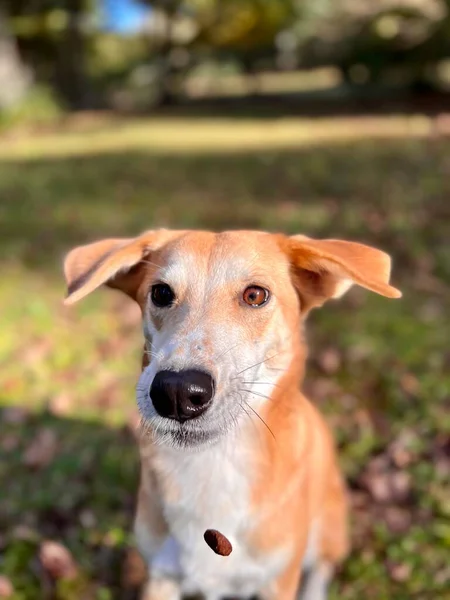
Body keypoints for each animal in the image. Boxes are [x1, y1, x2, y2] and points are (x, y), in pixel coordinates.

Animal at [62, 227, 400, 596]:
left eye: (255, 295)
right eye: (161, 292)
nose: (177, 391)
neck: (214, 462)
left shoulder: (277, 581)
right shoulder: (161, 576)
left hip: (328, 528)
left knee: (323, 567)